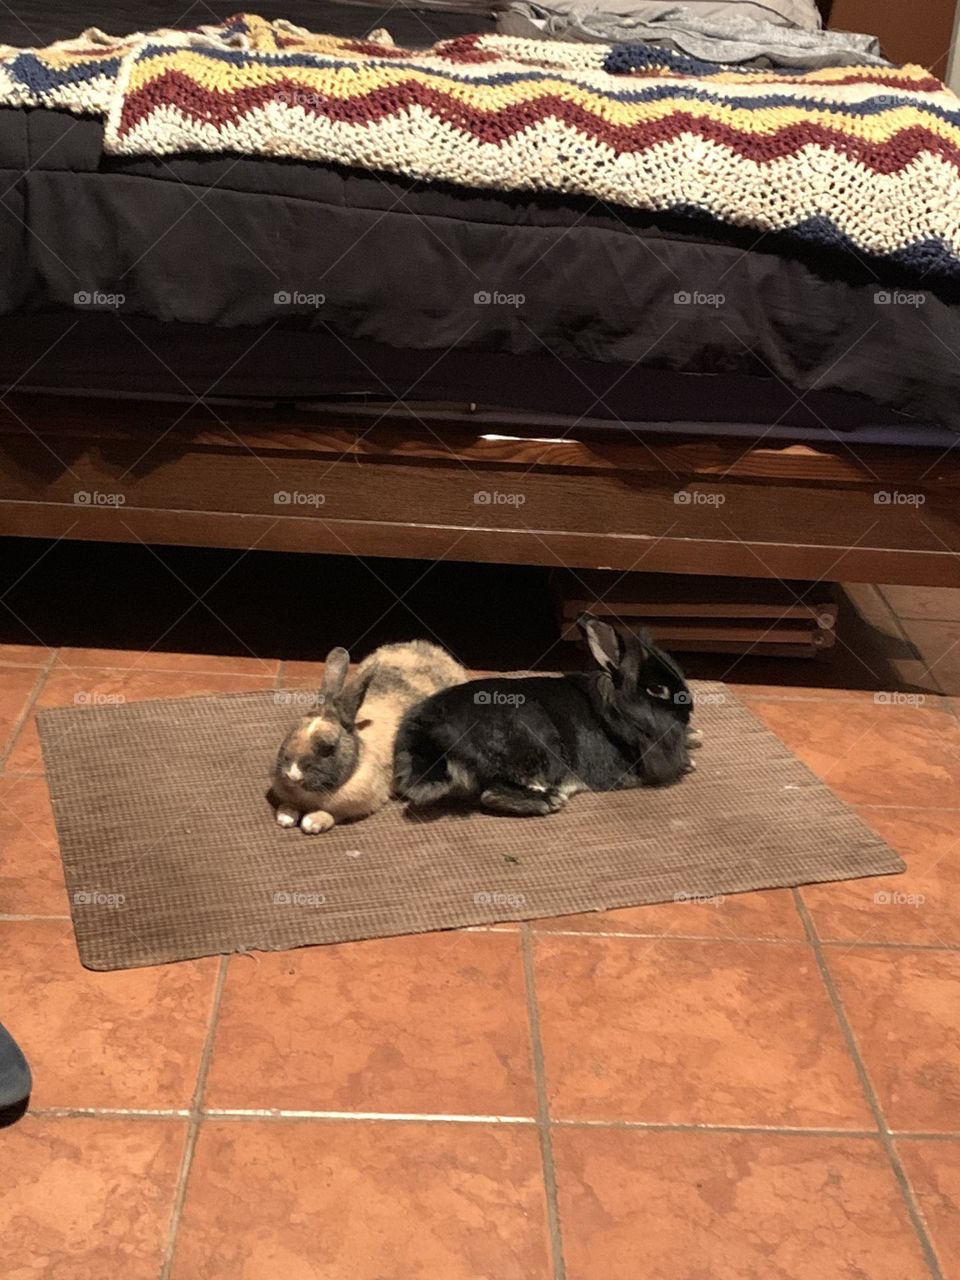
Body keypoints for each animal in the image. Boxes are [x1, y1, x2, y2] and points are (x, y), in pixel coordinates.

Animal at [272, 640, 466, 833]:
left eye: (328, 748)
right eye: (290, 733)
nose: (292, 775)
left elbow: (332, 814)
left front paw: (312, 822)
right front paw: (285, 816)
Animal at [394, 615, 699, 818]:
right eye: (657, 689)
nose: (689, 708)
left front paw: (694, 738)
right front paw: (688, 764)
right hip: (530, 744)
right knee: (490, 793)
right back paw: (548, 799)